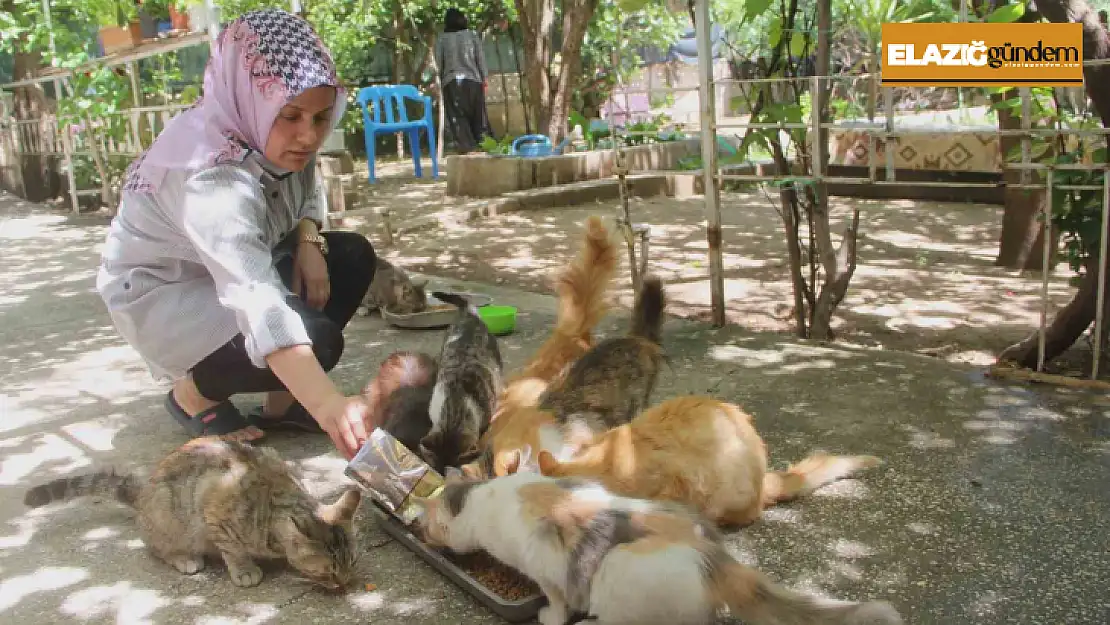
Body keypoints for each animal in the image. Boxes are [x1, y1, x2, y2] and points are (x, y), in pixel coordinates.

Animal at [21, 435, 361, 590]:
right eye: (329, 571)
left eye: (352, 563)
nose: (345, 583)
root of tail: (143, 492)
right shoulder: (215, 512)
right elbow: (233, 550)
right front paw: (244, 569)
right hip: (167, 514)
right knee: (156, 548)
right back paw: (184, 558)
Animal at [417, 475, 901, 625]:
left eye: (425, 525)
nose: (421, 535)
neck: (484, 499)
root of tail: (712, 555)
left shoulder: (548, 572)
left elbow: (554, 602)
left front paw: (550, 617)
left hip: (616, 581)